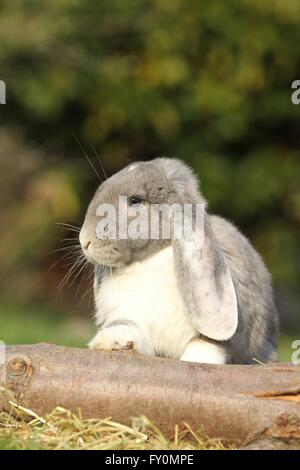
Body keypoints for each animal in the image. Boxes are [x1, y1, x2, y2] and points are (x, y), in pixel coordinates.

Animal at [79, 157, 278, 364]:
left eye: (135, 200)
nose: (84, 240)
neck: (151, 260)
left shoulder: (221, 336)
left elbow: (206, 347)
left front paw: (197, 361)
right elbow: (132, 331)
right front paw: (111, 342)